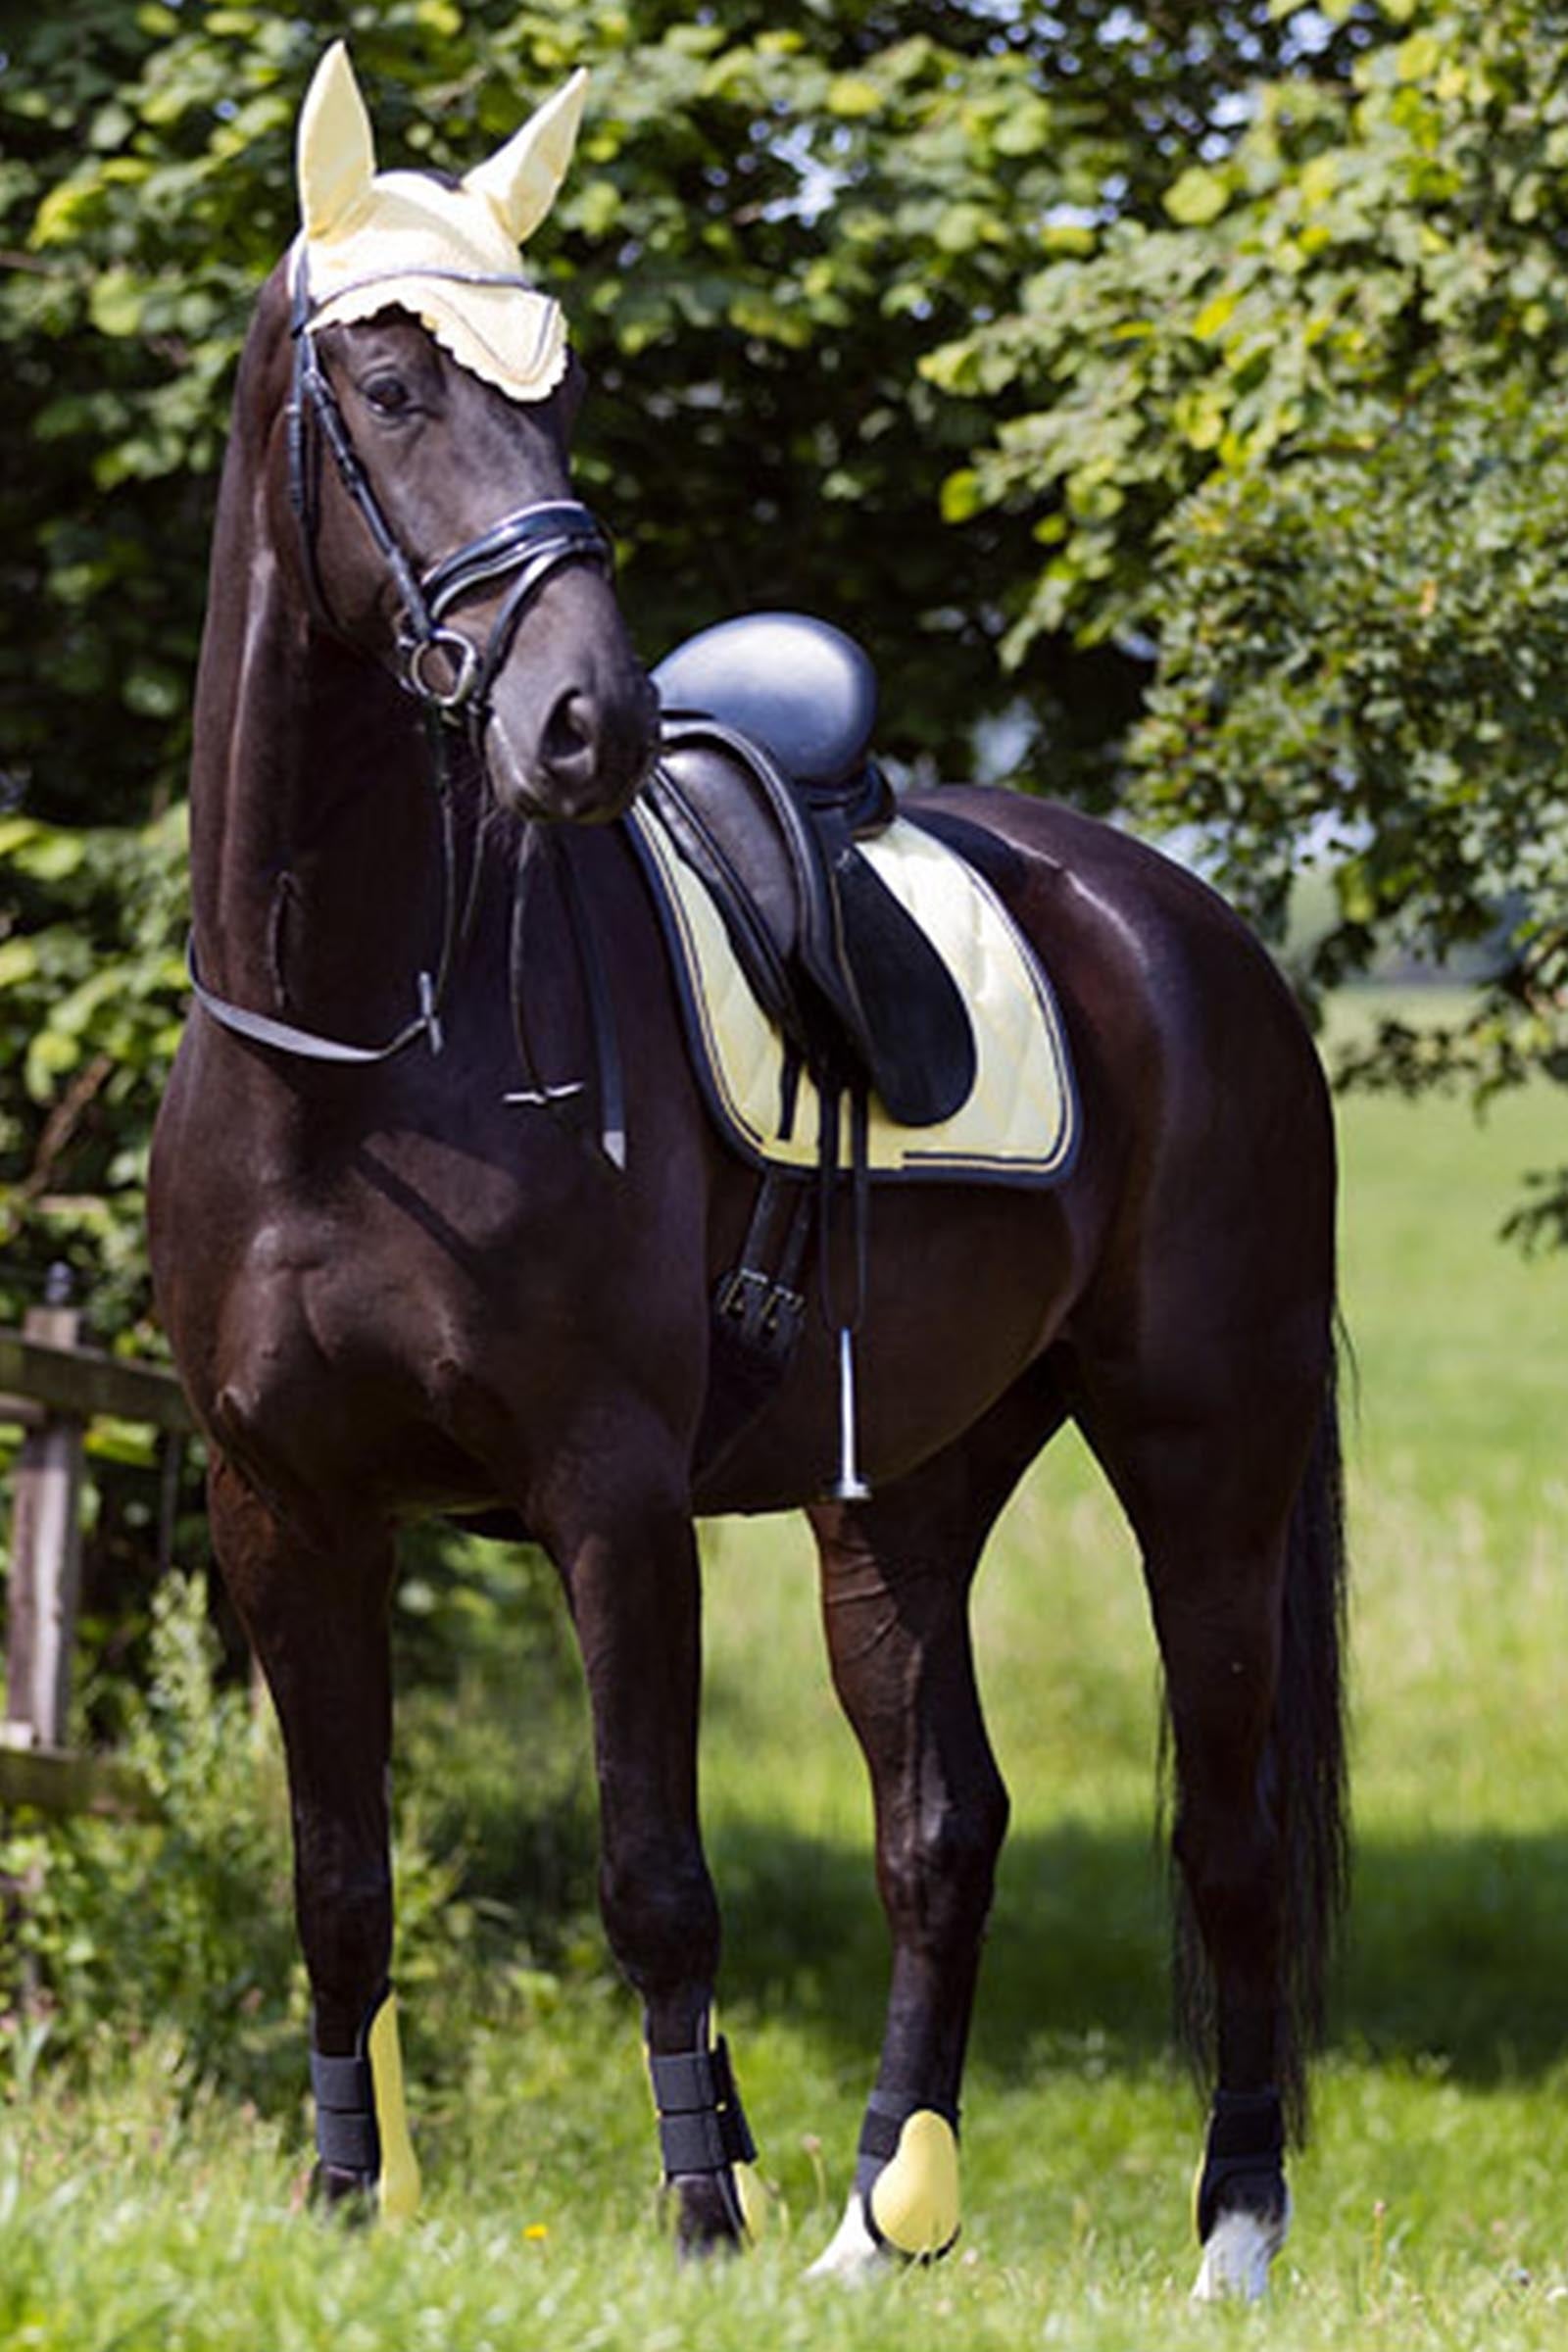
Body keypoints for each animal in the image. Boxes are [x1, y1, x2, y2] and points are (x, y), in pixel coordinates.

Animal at [148, 45, 1346, 2300]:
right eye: (391, 387)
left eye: (561, 400)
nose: (584, 723)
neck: (362, 1047)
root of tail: (1187, 933)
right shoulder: (282, 1507)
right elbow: (339, 1878)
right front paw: (344, 2206)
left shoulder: (610, 1498)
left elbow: (653, 1877)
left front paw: (698, 2217)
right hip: (906, 1491)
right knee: (940, 1832)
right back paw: (876, 2232)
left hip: (1203, 1448)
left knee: (1227, 1840)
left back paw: (1234, 2237)